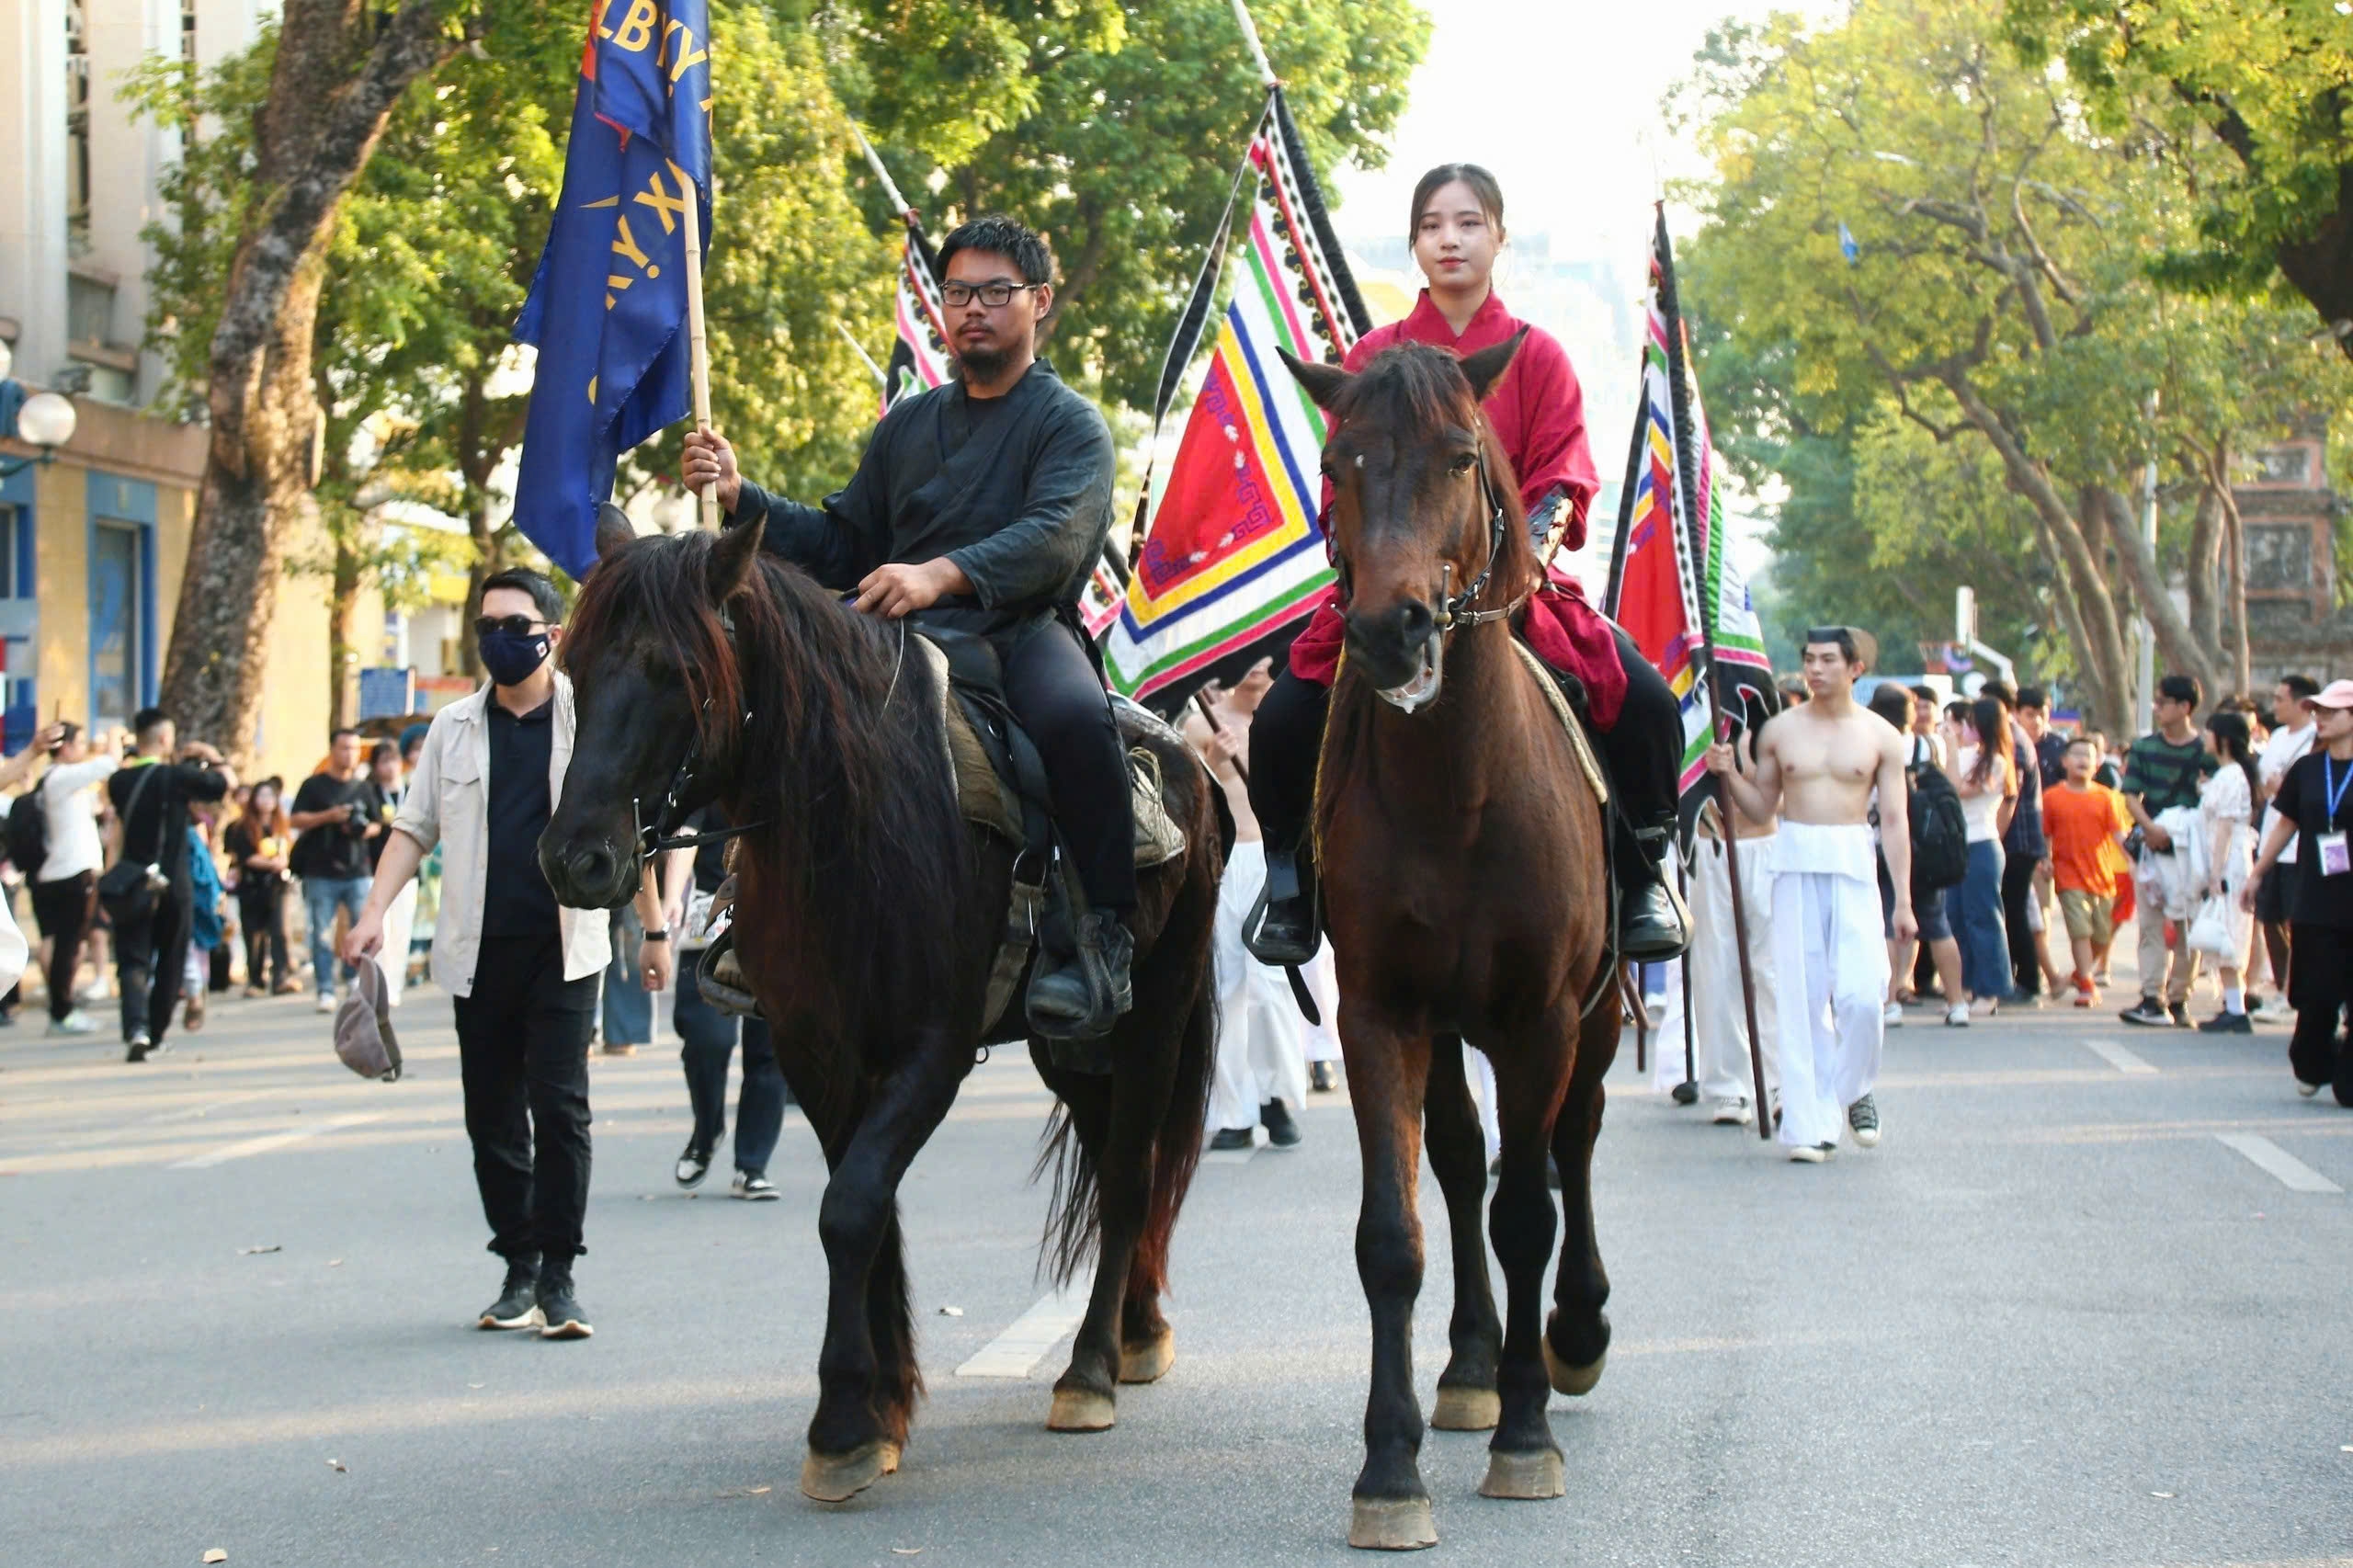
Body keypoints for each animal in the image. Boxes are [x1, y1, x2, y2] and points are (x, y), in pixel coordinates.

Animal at [539, 525, 1223, 1506]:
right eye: (577, 667)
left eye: (677, 669)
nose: (575, 860)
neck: (848, 822)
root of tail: (1191, 762)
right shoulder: (817, 1054)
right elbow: (863, 1211)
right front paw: (883, 1404)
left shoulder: (931, 1053)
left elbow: (851, 1209)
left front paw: (841, 1422)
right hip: (1071, 1050)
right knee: (1107, 1164)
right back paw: (1137, 1327)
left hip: (1155, 1019)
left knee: (1132, 1174)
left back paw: (1090, 1367)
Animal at [1289, 336, 1619, 1544]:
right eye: (1338, 461)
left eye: (1460, 456)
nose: (1391, 632)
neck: (1458, 795)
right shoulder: (1382, 1013)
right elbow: (1395, 1235)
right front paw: (1389, 1468)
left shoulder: (1541, 1016)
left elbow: (1529, 1210)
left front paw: (1527, 1434)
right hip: (1445, 1029)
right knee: (1465, 1160)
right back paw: (1473, 1362)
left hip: (1596, 1016)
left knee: (1571, 1144)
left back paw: (1572, 1331)